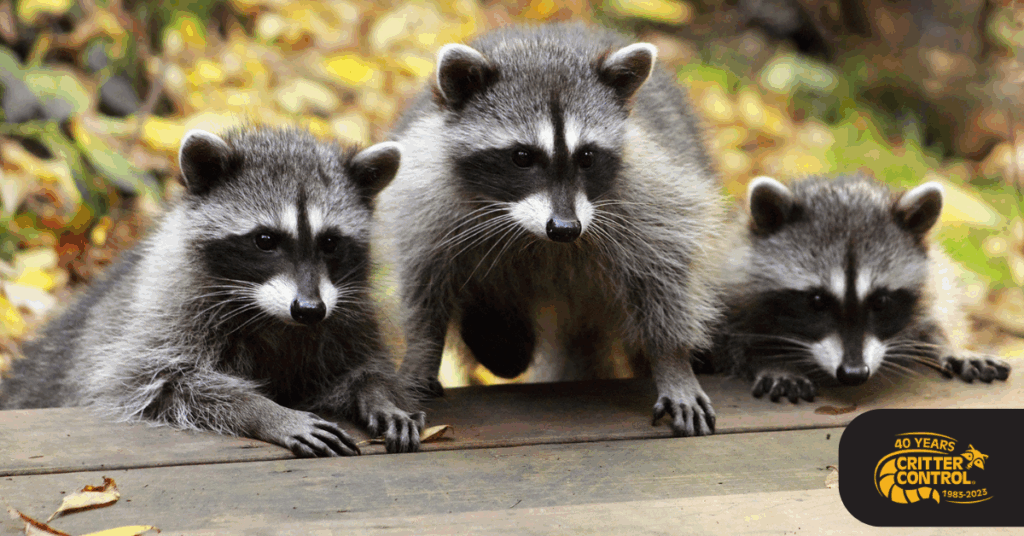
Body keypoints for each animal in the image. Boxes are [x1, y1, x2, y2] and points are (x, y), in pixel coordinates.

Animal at [0, 127, 425, 455]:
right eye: (265, 240)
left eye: (331, 243)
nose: (309, 309)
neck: (274, 317)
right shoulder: (168, 310)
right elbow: (161, 382)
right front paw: (264, 411)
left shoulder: (347, 313)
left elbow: (361, 367)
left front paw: (378, 394)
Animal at [375, 23, 726, 437]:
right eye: (522, 157)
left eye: (587, 156)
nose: (565, 228)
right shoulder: (426, 198)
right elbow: (425, 284)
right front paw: (422, 352)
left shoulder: (650, 195)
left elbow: (665, 273)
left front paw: (672, 360)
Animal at [714, 174, 1011, 403]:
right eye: (817, 301)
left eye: (880, 302)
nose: (853, 373)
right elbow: (734, 341)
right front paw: (773, 361)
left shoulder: (933, 276)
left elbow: (935, 310)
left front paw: (948, 344)